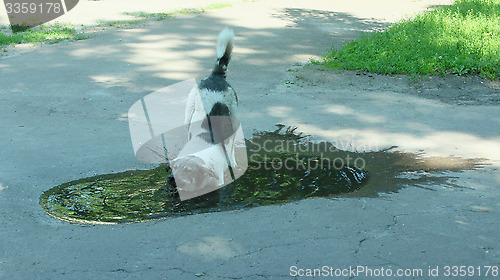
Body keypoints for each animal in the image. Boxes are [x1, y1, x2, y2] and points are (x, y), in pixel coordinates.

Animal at [167, 27, 239, 199]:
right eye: (175, 167)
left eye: (188, 171)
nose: (171, 178)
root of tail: (216, 75)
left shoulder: (218, 183)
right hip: (188, 114)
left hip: (234, 122)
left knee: (232, 145)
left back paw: (233, 162)